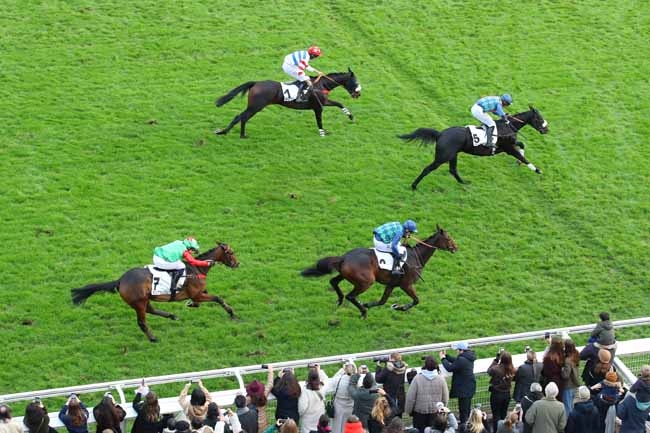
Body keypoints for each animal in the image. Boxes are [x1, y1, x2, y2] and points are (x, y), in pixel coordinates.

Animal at [69, 243, 240, 340]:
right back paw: (153, 338)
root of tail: (121, 280)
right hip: (139, 302)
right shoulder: (197, 294)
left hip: (145, 299)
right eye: (231, 253)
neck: (196, 269)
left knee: (150, 310)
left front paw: (191, 305)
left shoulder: (198, 293)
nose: (237, 264)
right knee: (142, 321)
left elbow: (200, 301)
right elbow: (217, 298)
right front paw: (232, 314)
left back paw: (172, 316)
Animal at [215, 68, 362, 138]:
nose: (358, 94)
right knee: (243, 117)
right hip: (256, 106)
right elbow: (319, 120)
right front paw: (322, 133)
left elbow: (340, 104)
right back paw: (241, 135)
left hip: (254, 106)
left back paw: (223, 132)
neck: (321, 85)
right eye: (355, 81)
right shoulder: (318, 107)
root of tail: (256, 83)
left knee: (239, 117)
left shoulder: (324, 102)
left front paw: (351, 116)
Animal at [298, 226, 456, 318]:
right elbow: (416, 300)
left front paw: (390, 305)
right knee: (351, 296)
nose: (456, 247)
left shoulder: (392, 284)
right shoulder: (406, 284)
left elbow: (382, 301)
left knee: (333, 282)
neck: (415, 256)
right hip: (366, 281)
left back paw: (340, 300)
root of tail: (344, 257)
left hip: (345, 275)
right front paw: (401, 307)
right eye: (448, 238)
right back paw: (363, 311)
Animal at [400, 105, 548, 188]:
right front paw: (538, 170)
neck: (507, 126)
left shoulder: (507, 145)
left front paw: (519, 162)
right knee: (428, 169)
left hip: (453, 155)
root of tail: (440, 134)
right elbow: (524, 158)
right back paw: (414, 186)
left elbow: (521, 145)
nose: (546, 130)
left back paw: (463, 183)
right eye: (539, 119)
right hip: (443, 156)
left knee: (453, 170)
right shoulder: (508, 148)